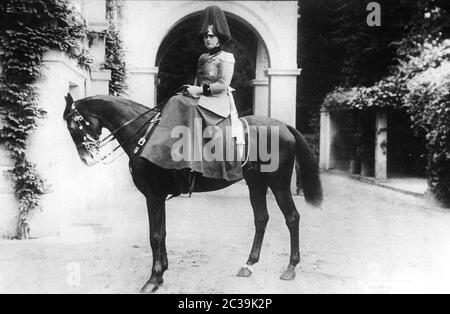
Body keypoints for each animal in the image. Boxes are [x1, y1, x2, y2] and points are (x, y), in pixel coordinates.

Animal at [64, 92, 324, 292]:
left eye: (73, 125)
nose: (86, 159)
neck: (145, 134)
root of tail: (283, 126)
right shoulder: (159, 197)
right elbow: (162, 233)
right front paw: (162, 272)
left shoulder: (153, 196)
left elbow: (154, 235)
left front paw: (153, 279)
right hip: (256, 183)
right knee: (261, 218)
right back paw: (249, 265)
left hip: (278, 183)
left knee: (292, 218)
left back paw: (290, 268)